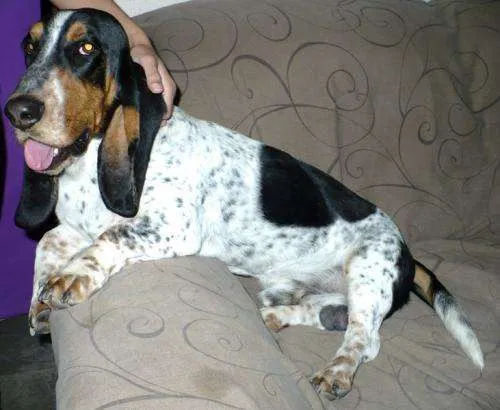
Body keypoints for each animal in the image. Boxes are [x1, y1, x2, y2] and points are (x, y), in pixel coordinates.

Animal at [1, 8, 482, 400]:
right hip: (319, 288)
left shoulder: (170, 227)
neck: (88, 160)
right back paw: (272, 318)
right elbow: (48, 242)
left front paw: (70, 278)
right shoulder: (74, 226)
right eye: (29, 46)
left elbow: (109, 236)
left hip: (367, 271)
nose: (18, 111)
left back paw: (336, 372)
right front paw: (40, 302)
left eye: (86, 48)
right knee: (330, 315)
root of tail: (407, 253)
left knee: (365, 339)